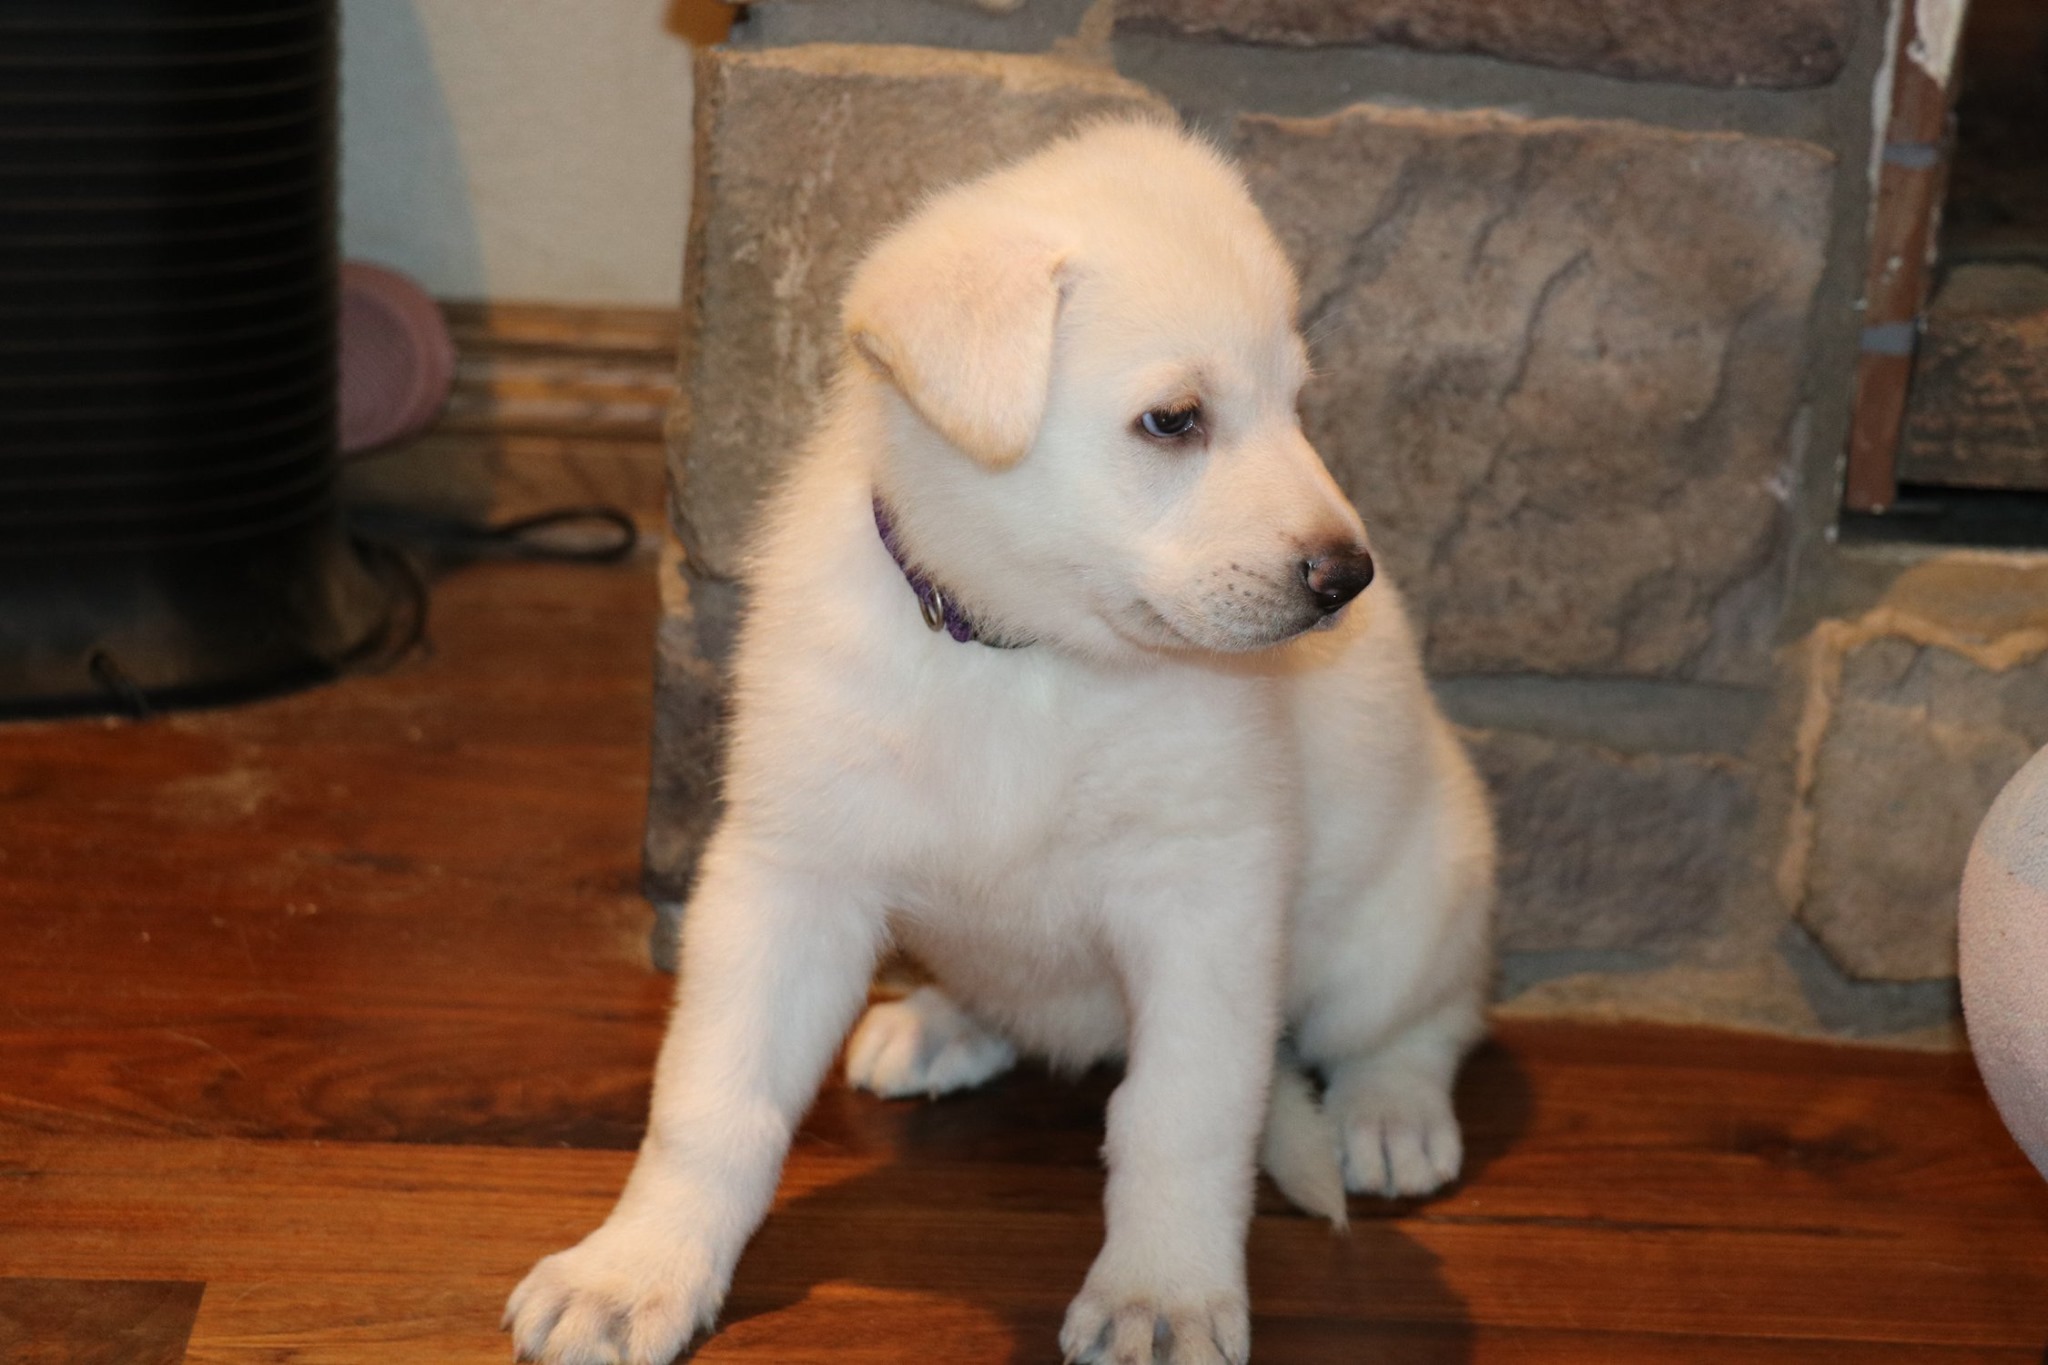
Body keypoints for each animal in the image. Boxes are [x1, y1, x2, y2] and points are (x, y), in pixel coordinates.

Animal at [505, 118, 1495, 1365]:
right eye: (1173, 418)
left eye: (1296, 407)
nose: (1345, 577)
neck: (1019, 655)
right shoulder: (788, 875)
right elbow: (711, 1103)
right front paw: (635, 1269)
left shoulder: (1203, 903)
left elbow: (1179, 1116)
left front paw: (1163, 1295)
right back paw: (938, 1025)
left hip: (1408, 914)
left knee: (1427, 1016)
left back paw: (1391, 1115)